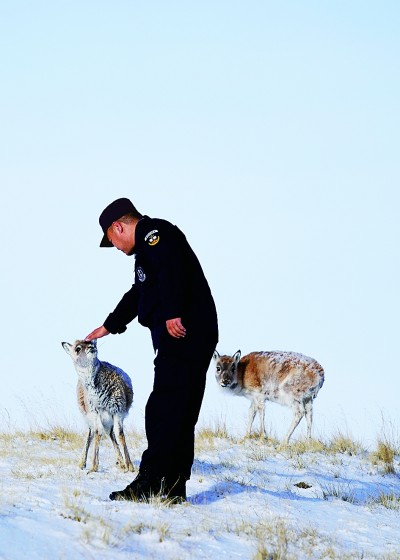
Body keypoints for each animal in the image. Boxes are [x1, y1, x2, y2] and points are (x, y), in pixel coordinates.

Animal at [61, 336, 134, 472]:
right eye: (77, 348)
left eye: (91, 342)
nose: (92, 347)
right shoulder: (95, 413)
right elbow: (97, 433)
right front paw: (94, 467)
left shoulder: (118, 411)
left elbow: (120, 434)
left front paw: (130, 466)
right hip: (90, 418)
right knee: (91, 433)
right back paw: (82, 463)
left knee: (110, 433)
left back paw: (121, 463)